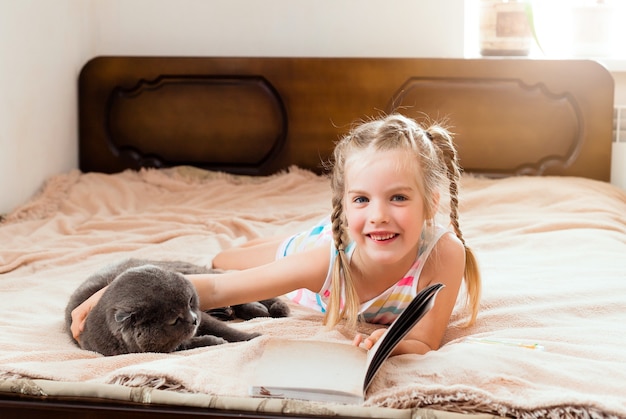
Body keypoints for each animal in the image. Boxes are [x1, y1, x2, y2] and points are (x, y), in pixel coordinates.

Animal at [64, 260, 288, 358]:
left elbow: (226, 331)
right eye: (174, 320)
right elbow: (186, 344)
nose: (194, 320)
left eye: (190, 301)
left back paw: (272, 308)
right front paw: (213, 341)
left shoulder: (204, 317)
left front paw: (253, 337)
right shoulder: (160, 348)